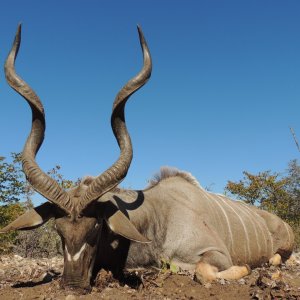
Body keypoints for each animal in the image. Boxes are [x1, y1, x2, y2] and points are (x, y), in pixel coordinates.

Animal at [1, 24, 294, 292]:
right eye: (58, 230)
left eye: (96, 227)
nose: (73, 285)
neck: (155, 217)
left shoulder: (216, 253)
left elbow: (203, 271)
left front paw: (246, 268)